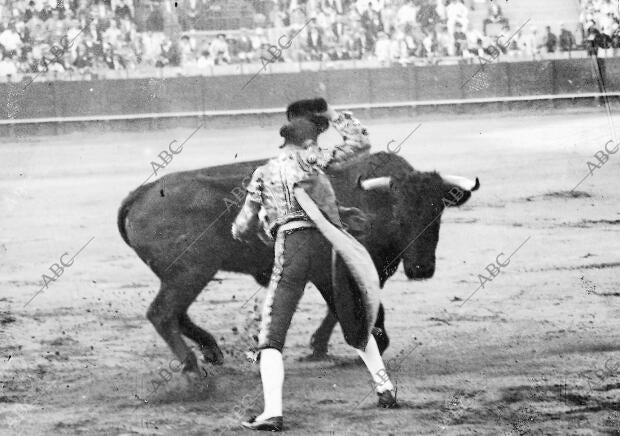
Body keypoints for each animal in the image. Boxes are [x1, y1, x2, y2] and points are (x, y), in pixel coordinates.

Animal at [118, 152, 482, 372]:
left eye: (437, 214)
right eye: (400, 215)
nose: (421, 269)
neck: (371, 204)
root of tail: (145, 191)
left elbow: (344, 307)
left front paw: (321, 346)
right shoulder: (335, 268)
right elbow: (349, 306)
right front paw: (368, 341)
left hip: (184, 275)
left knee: (176, 313)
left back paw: (210, 351)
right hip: (191, 272)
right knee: (163, 313)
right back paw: (194, 369)